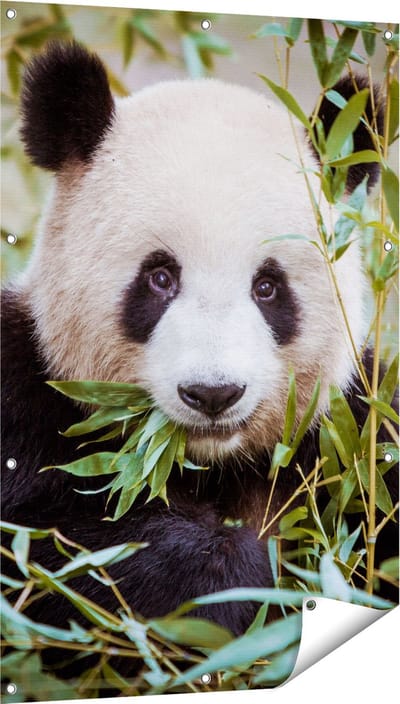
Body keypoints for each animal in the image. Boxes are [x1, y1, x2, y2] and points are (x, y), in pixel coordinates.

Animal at [1, 41, 397, 651]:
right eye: (160, 278)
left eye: (268, 286)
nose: (213, 394)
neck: (205, 465)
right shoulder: (24, 395)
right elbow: (55, 548)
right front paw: (227, 574)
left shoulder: (356, 435)